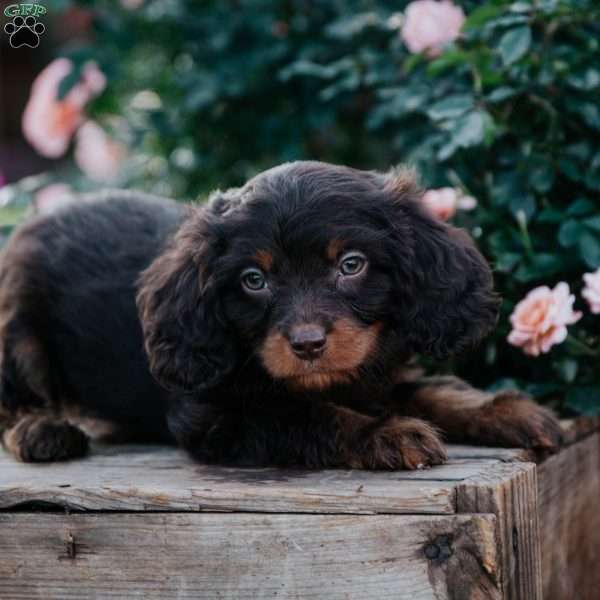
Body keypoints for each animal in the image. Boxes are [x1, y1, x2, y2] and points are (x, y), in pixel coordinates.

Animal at [0, 162, 564, 466]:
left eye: (351, 265)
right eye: (254, 280)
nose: (308, 345)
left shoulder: (380, 374)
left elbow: (436, 391)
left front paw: (510, 412)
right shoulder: (217, 418)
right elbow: (307, 416)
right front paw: (384, 434)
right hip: (19, 327)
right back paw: (41, 431)